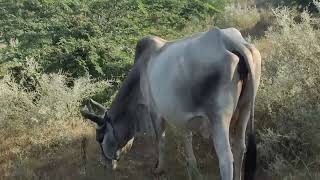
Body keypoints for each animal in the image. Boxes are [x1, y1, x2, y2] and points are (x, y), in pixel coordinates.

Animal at [79, 27, 260, 180]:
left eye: (100, 138)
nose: (104, 163)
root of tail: (229, 41)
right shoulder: (183, 117)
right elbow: (187, 140)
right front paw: (193, 171)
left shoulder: (154, 111)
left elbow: (160, 141)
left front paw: (159, 168)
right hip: (245, 108)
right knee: (240, 147)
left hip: (219, 117)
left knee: (226, 159)